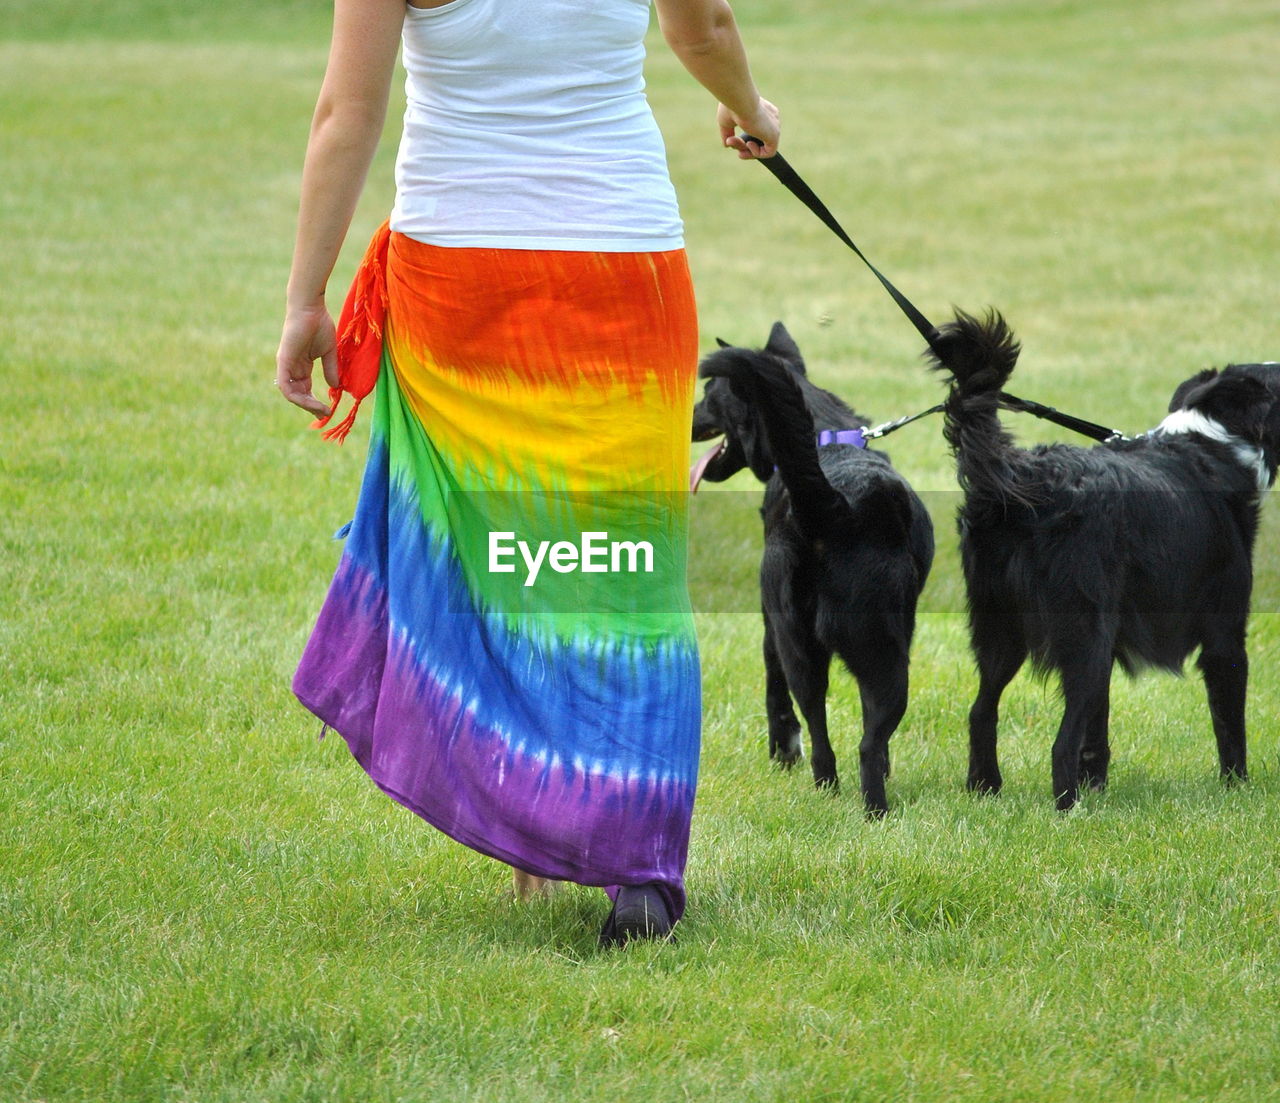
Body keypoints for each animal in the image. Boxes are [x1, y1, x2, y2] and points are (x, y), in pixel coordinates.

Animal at [696, 323, 936, 813]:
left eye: (709, 396)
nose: (688, 420)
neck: (827, 437)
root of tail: (839, 506)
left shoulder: (771, 624)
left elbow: (776, 692)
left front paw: (782, 752)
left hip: (803, 643)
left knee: (824, 731)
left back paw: (841, 794)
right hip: (882, 652)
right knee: (867, 741)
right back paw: (874, 811)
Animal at [931, 310, 1280, 813]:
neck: (1212, 444)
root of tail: (1024, 477)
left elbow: (1096, 734)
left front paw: (1097, 786)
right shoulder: (1224, 636)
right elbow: (1230, 729)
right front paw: (1239, 791)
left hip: (1001, 628)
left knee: (981, 712)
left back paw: (987, 790)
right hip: (1083, 635)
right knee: (1059, 742)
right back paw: (1067, 810)